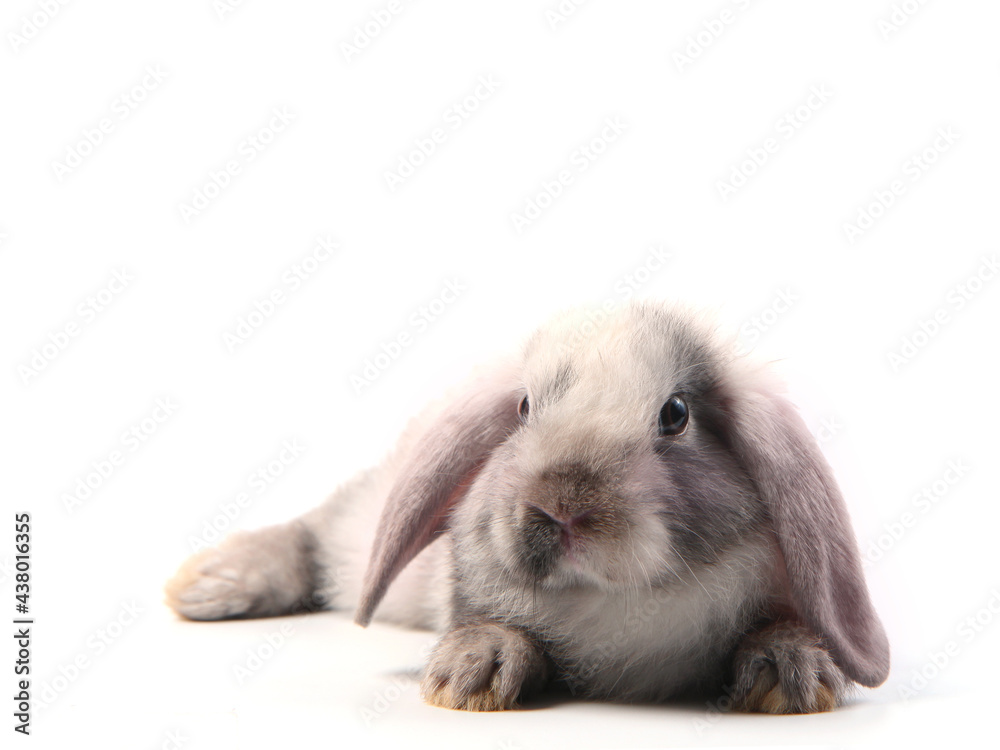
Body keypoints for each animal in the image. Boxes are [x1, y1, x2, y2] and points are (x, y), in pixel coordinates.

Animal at [165, 300, 889, 714]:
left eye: (676, 414)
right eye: (523, 408)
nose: (561, 509)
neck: (621, 600)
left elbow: (779, 626)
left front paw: (791, 674)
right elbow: (494, 625)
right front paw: (471, 675)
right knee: (314, 535)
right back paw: (208, 583)